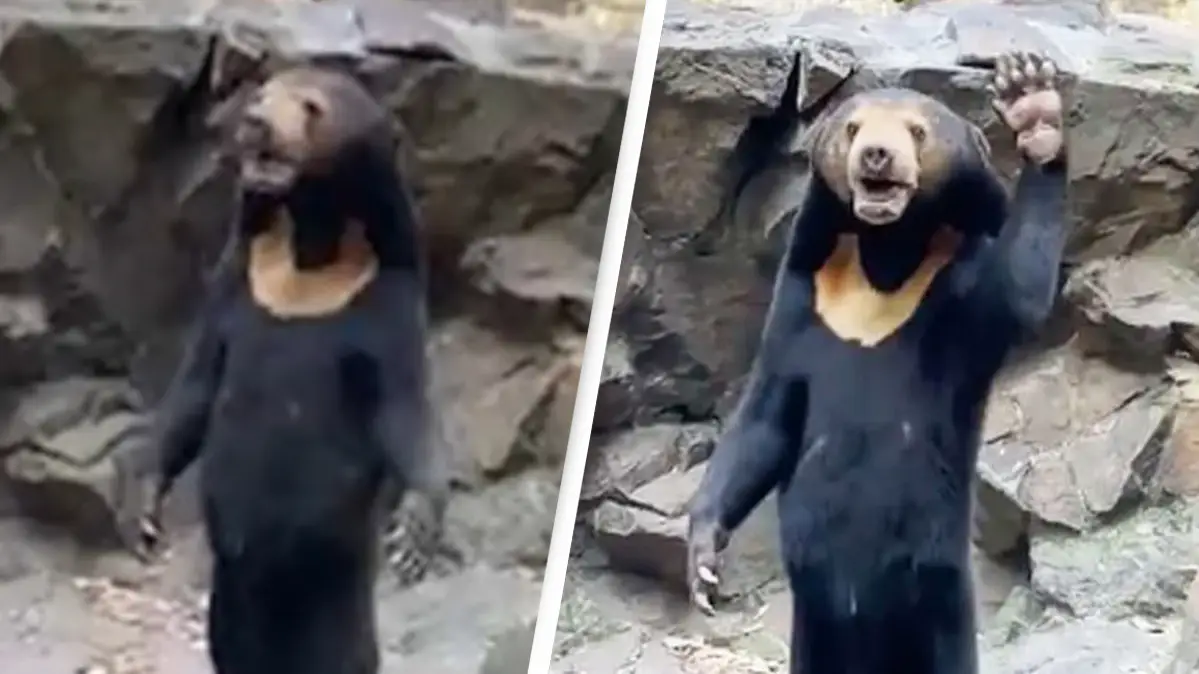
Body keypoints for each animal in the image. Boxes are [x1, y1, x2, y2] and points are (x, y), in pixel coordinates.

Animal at [131, 65, 444, 674]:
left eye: (312, 107)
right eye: (262, 91)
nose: (256, 123)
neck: (309, 248)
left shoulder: (383, 300)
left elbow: (404, 406)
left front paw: (416, 528)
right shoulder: (240, 277)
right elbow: (197, 384)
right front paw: (144, 511)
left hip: (335, 582)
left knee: (342, 651)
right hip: (230, 596)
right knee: (233, 647)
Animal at [685, 51, 1068, 674]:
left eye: (917, 131)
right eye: (853, 128)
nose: (876, 156)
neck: (883, 256)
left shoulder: (962, 285)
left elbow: (1019, 292)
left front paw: (1033, 108)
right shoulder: (804, 295)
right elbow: (767, 415)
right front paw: (702, 562)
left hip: (938, 599)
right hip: (814, 623)